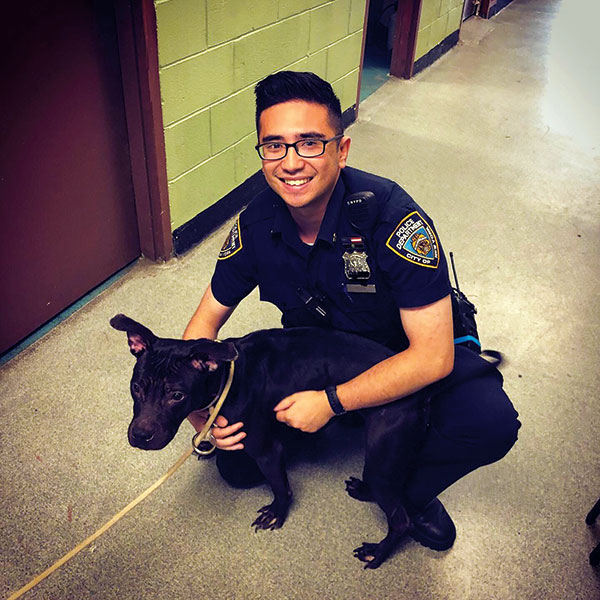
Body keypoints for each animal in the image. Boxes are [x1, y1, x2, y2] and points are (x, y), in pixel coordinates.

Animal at [111, 314, 496, 568]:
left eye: (176, 395)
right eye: (136, 387)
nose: (140, 436)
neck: (224, 377)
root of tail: (422, 392)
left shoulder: (267, 451)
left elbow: (280, 487)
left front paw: (277, 514)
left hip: (384, 452)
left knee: (401, 519)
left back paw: (378, 552)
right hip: (384, 457)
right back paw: (364, 491)